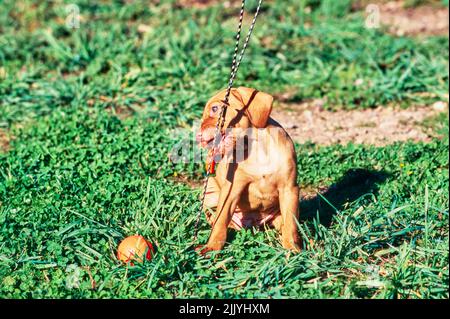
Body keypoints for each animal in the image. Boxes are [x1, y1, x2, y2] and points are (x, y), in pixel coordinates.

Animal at [195, 86, 300, 254]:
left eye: (215, 108)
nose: (198, 137)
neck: (257, 148)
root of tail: (253, 224)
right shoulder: (232, 189)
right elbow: (220, 220)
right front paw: (212, 247)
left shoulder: (289, 189)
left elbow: (291, 224)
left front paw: (292, 250)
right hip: (210, 190)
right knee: (217, 219)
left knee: (285, 225)